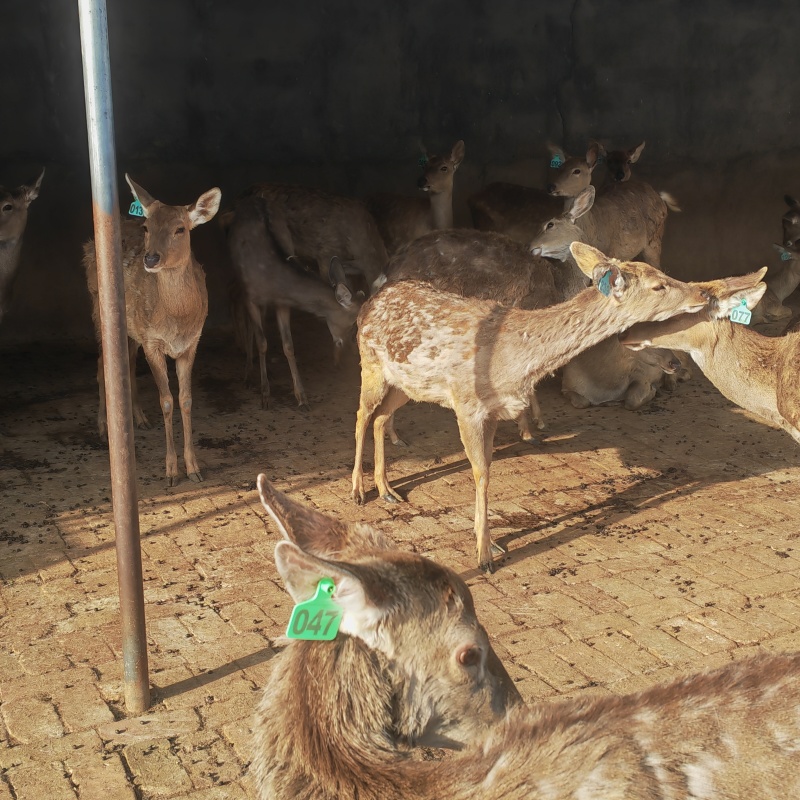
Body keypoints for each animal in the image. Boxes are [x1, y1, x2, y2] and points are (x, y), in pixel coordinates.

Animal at [83, 175, 220, 486]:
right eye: (147, 227)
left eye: (181, 228)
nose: (151, 259)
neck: (176, 321)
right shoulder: (153, 341)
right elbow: (166, 401)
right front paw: (171, 471)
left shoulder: (192, 343)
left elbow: (186, 400)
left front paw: (194, 468)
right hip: (100, 313)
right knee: (101, 364)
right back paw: (103, 428)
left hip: (132, 331)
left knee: (128, 364)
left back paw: (139, 419)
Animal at [224, 192, 363, 410]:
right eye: (351, 324)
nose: (350, 349)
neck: (272, 278)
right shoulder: (251, 297)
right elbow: (261, 341)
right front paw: (265, 395)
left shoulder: (282, 303)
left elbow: (289, 345)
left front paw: (302, 397)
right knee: (247, 322)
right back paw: (248, 372)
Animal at [352, 242, 763, 572]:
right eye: (658, 285)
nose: (700, 294)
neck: (516, 362)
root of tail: (371, 300)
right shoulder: (468, 404)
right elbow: (482, 473)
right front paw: (484, 555)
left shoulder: (491, 409)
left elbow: (487, 469)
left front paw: (491, 544)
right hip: (370, 363)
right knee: (361, 415)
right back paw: (358, 491)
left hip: (407, 382)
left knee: (382, 417)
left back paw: (387, 490)